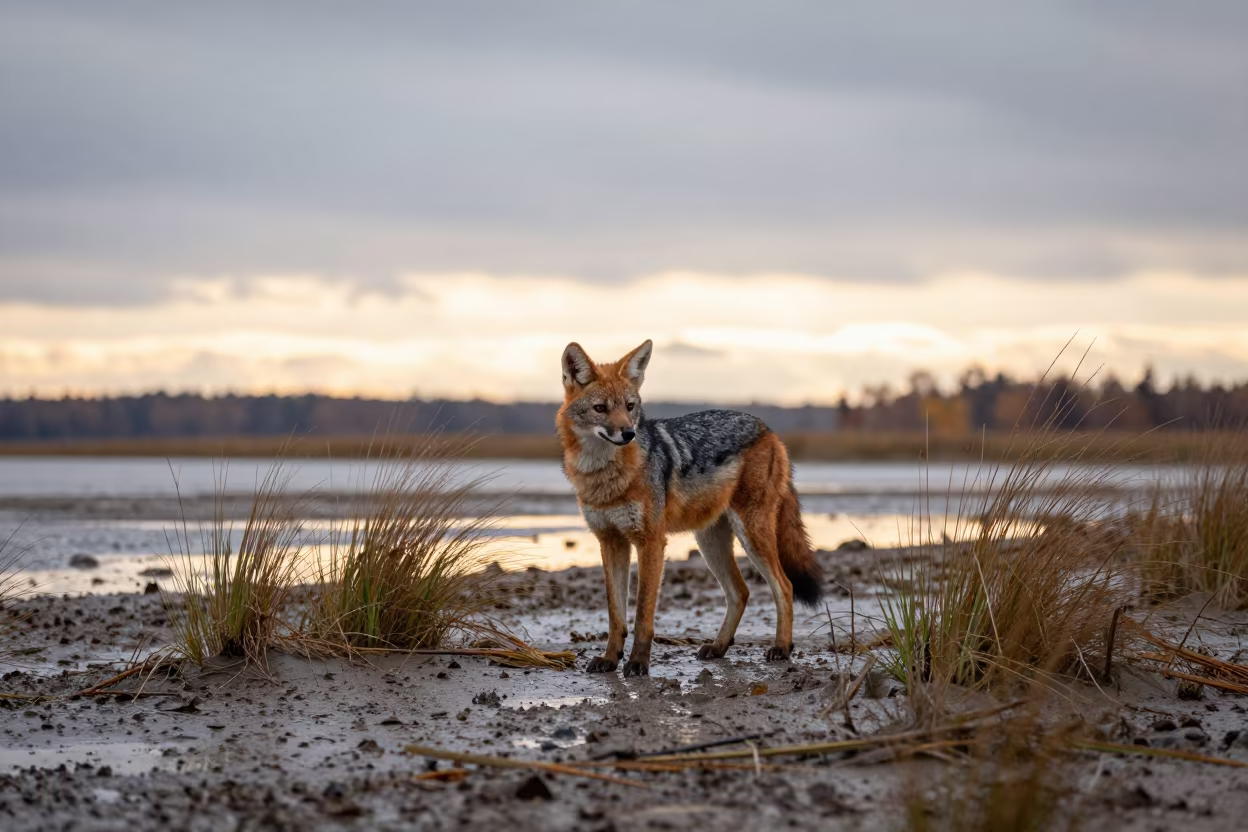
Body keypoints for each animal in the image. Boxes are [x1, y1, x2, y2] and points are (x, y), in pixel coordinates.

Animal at [556, 339, 823, 676]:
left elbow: (642, 614)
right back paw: (719, 647)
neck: (605, 478)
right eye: (600, 408)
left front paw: (638, 662)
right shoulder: (611, 542)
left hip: (751, 536)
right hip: (710, 543)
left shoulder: (651, 542)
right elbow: (616, 614)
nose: (628, 433)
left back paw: (782, 648)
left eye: (629, 407)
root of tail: (767, 429)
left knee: (784, 586)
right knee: (740, 592)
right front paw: (609, 658)